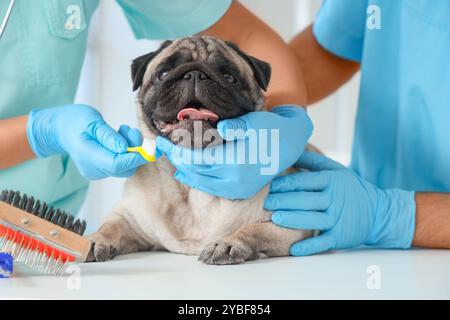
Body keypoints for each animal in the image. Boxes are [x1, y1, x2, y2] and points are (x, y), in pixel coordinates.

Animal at [87, 36, 312, 264]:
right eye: (163, 74)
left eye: (229, 77)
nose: (195, 74)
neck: (192, 190)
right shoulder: (129, 219)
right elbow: (109, 227)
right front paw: (93, 240)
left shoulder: (290, 224)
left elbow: (252, 230)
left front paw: (228, 243)